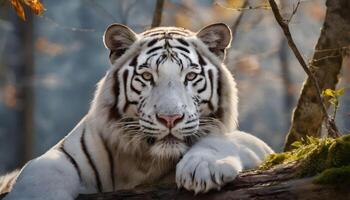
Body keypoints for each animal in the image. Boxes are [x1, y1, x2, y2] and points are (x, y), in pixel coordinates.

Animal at [0, 23, 274, 198]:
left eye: (190, 76)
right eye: (147, 76)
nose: (170, 118)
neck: (145, 162)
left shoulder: (264, 149)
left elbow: (228, 139)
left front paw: (201, 169)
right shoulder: (61, 155)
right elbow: (42, 174)